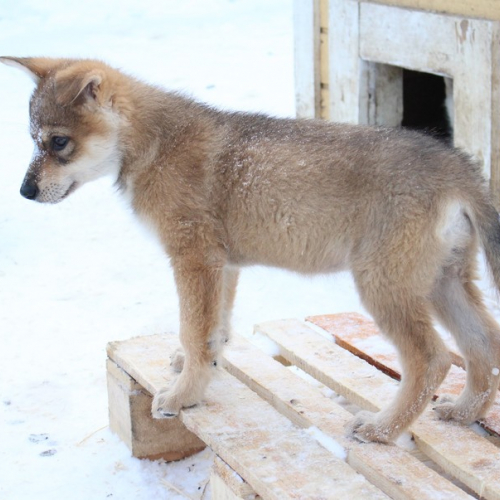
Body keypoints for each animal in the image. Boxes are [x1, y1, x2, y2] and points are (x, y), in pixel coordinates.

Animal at [3, 56, 500, 444]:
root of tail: (457, 166)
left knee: (433, 360)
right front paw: (197, 367)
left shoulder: (193, 258)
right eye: (32, 140)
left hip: (386, 288)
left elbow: (193, 328)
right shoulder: (221, 265)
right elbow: (212, 330)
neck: (154, 143)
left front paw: (183, 397)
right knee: (483, 344)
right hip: (443, 284)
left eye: (58, 142)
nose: (24, 192)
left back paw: (382, 429)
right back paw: (463, 413)